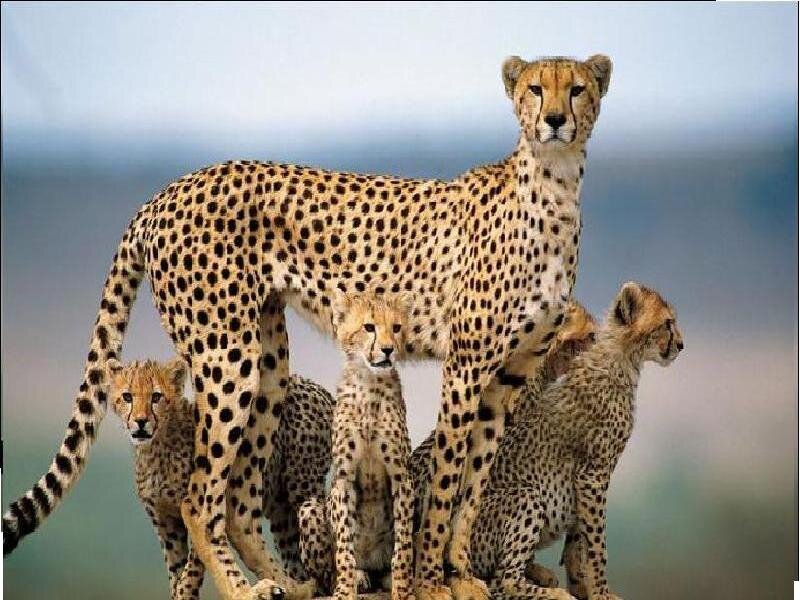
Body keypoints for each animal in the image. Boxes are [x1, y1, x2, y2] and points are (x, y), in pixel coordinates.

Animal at [106, 356, 334, 599]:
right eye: (127, 397)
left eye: (156, 397)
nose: (140, 421)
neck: (155, 446)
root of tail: (315, 386)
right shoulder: (165, 524)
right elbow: (176, 571)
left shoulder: (198, 508)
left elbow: (192, 569)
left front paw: (186, 591)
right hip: (280, 510)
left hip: (302, 485)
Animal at [298, 293, 415, 600]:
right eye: (369, 327)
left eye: (396, 328)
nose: (388, 349)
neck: (369, 383)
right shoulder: (343, 477)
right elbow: (344, 546)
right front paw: (345, 589)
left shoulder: (402, 476)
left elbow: (404, 545)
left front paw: (402, 589)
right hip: (310, 508)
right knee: (325, 577)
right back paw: (356, 579)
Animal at [469, 282, 683, 600]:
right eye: (667, 323)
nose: (681, 344)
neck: (621, 359)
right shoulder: (593, 474)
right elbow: (597, 542)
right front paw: (602, 592)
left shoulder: (584, 479)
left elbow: (578, 539)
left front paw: (583, 586)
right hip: (526, 496)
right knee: (501, 581)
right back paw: (552, 593)